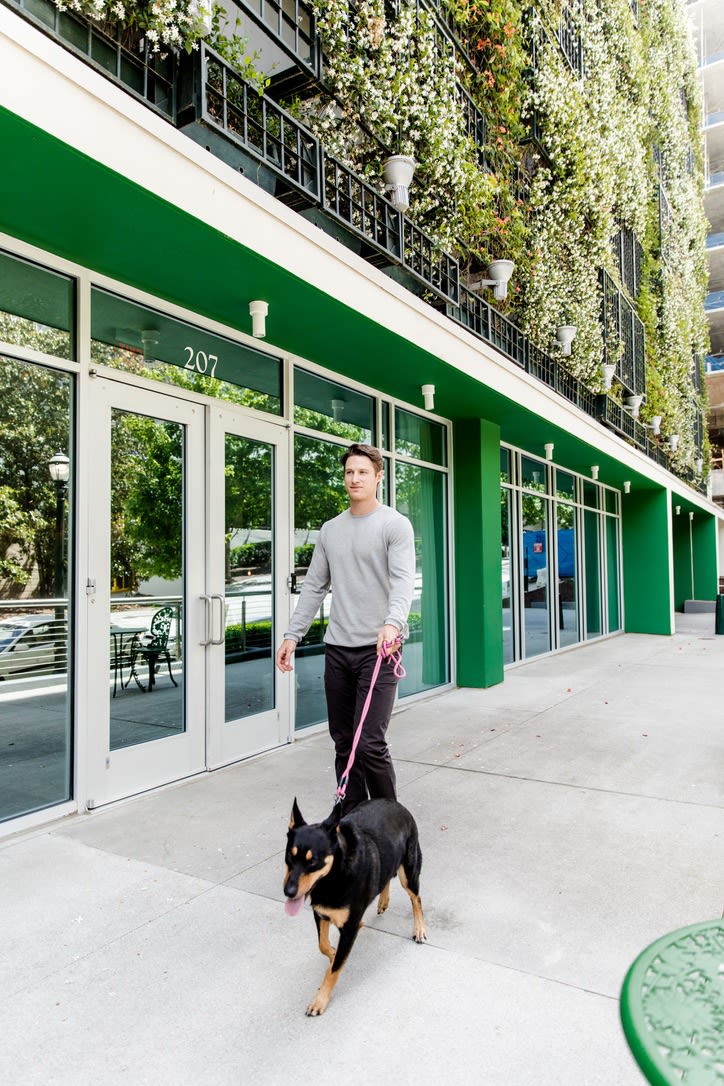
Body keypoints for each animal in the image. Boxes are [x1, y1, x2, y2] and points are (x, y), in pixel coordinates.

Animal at [283, 797, 427, 1016]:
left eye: (313, 861)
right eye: (289, 857)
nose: (288, 892)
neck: (333, 877)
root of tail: (395, 803)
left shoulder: (350, 928)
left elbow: (334, 969)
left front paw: (320, 1000)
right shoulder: (320, 914)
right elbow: (323, 946)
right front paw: (333, 954)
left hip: (408, 872)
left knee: (416, 899)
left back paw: (419, 928)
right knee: (386, 878)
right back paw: (383, 900)